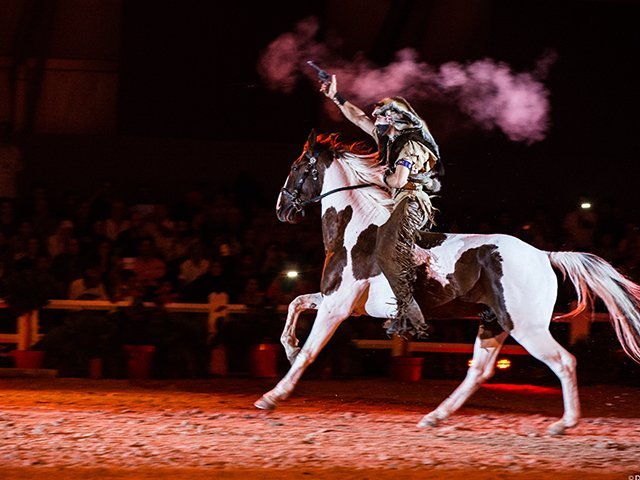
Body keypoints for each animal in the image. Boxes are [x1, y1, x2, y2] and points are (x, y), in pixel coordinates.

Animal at [254, 130, 640, 435]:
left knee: (564, 361)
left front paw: (271, 397)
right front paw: (288, 348)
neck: (357, 230)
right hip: (494, 323)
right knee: (479, 371)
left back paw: (564, 424)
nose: (280, 209)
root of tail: (544, 255)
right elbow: (296, 304)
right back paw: (435, 417)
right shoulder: (337, 300)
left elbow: (310, 351)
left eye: (296, 168)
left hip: (526, 327)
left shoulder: (338, 306)